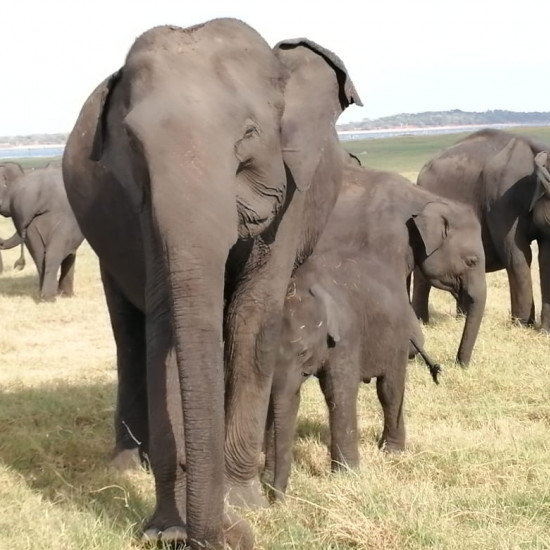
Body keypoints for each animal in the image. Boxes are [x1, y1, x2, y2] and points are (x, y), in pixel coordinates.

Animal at [0, 165, 84, 302]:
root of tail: (40, 198)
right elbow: (70, 254)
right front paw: (68, 296)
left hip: (27, 221)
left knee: (39, 256)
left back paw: (43, 296)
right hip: (66, 221)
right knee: (54, 254)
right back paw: (50, 298)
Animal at [62, 18, 362, 550]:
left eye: (249, 133)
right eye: (132, 145)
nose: (227, 534)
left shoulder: (293, 193)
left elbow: (251, 319)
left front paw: (243, 504)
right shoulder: (144, 209)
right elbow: (165, 323)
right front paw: (165, 524)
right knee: (129, 337)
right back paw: (126, 465)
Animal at [266, 250, 442, 500]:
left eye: (302, 352)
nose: (277, 498)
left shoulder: (346, 335)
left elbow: (338, 393)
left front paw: (346, 475)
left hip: (397, 337)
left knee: (389, 390)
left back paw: (392, 451)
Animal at [418, 130, 550, 332]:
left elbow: (544, 257)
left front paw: (543, 330)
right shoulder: (502, 199)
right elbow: (518, 255)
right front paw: (522, 325)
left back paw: (461, 317)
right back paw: (422, 322)